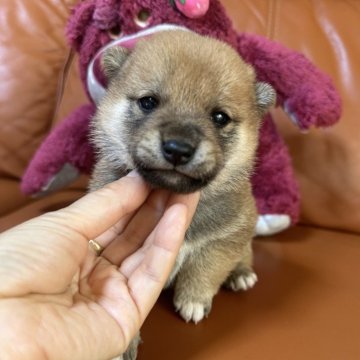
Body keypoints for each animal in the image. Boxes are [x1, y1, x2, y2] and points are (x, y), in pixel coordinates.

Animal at [90, 29, 276, 358]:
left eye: (219, 117)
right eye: (148, 102)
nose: (177, 148)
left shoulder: (227, 236)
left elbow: (205, 271)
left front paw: (193, 301)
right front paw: (125, 343)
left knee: (245, 255)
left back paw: (241, 274)